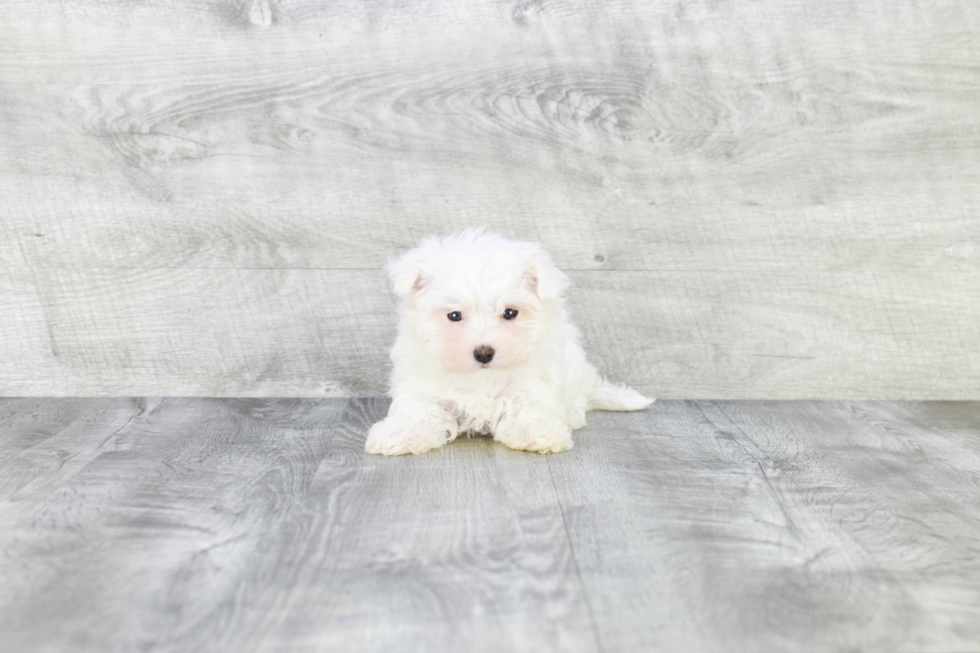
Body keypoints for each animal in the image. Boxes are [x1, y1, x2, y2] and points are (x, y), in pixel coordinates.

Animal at [364, 227, 656, 456]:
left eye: (510, 313)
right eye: (454, 315)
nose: (484, 353)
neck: (481, 378)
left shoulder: (534, 381)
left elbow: (529, 407)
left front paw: (536, 433)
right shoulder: (422, 384)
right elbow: (417, 410)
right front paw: (400, 434)